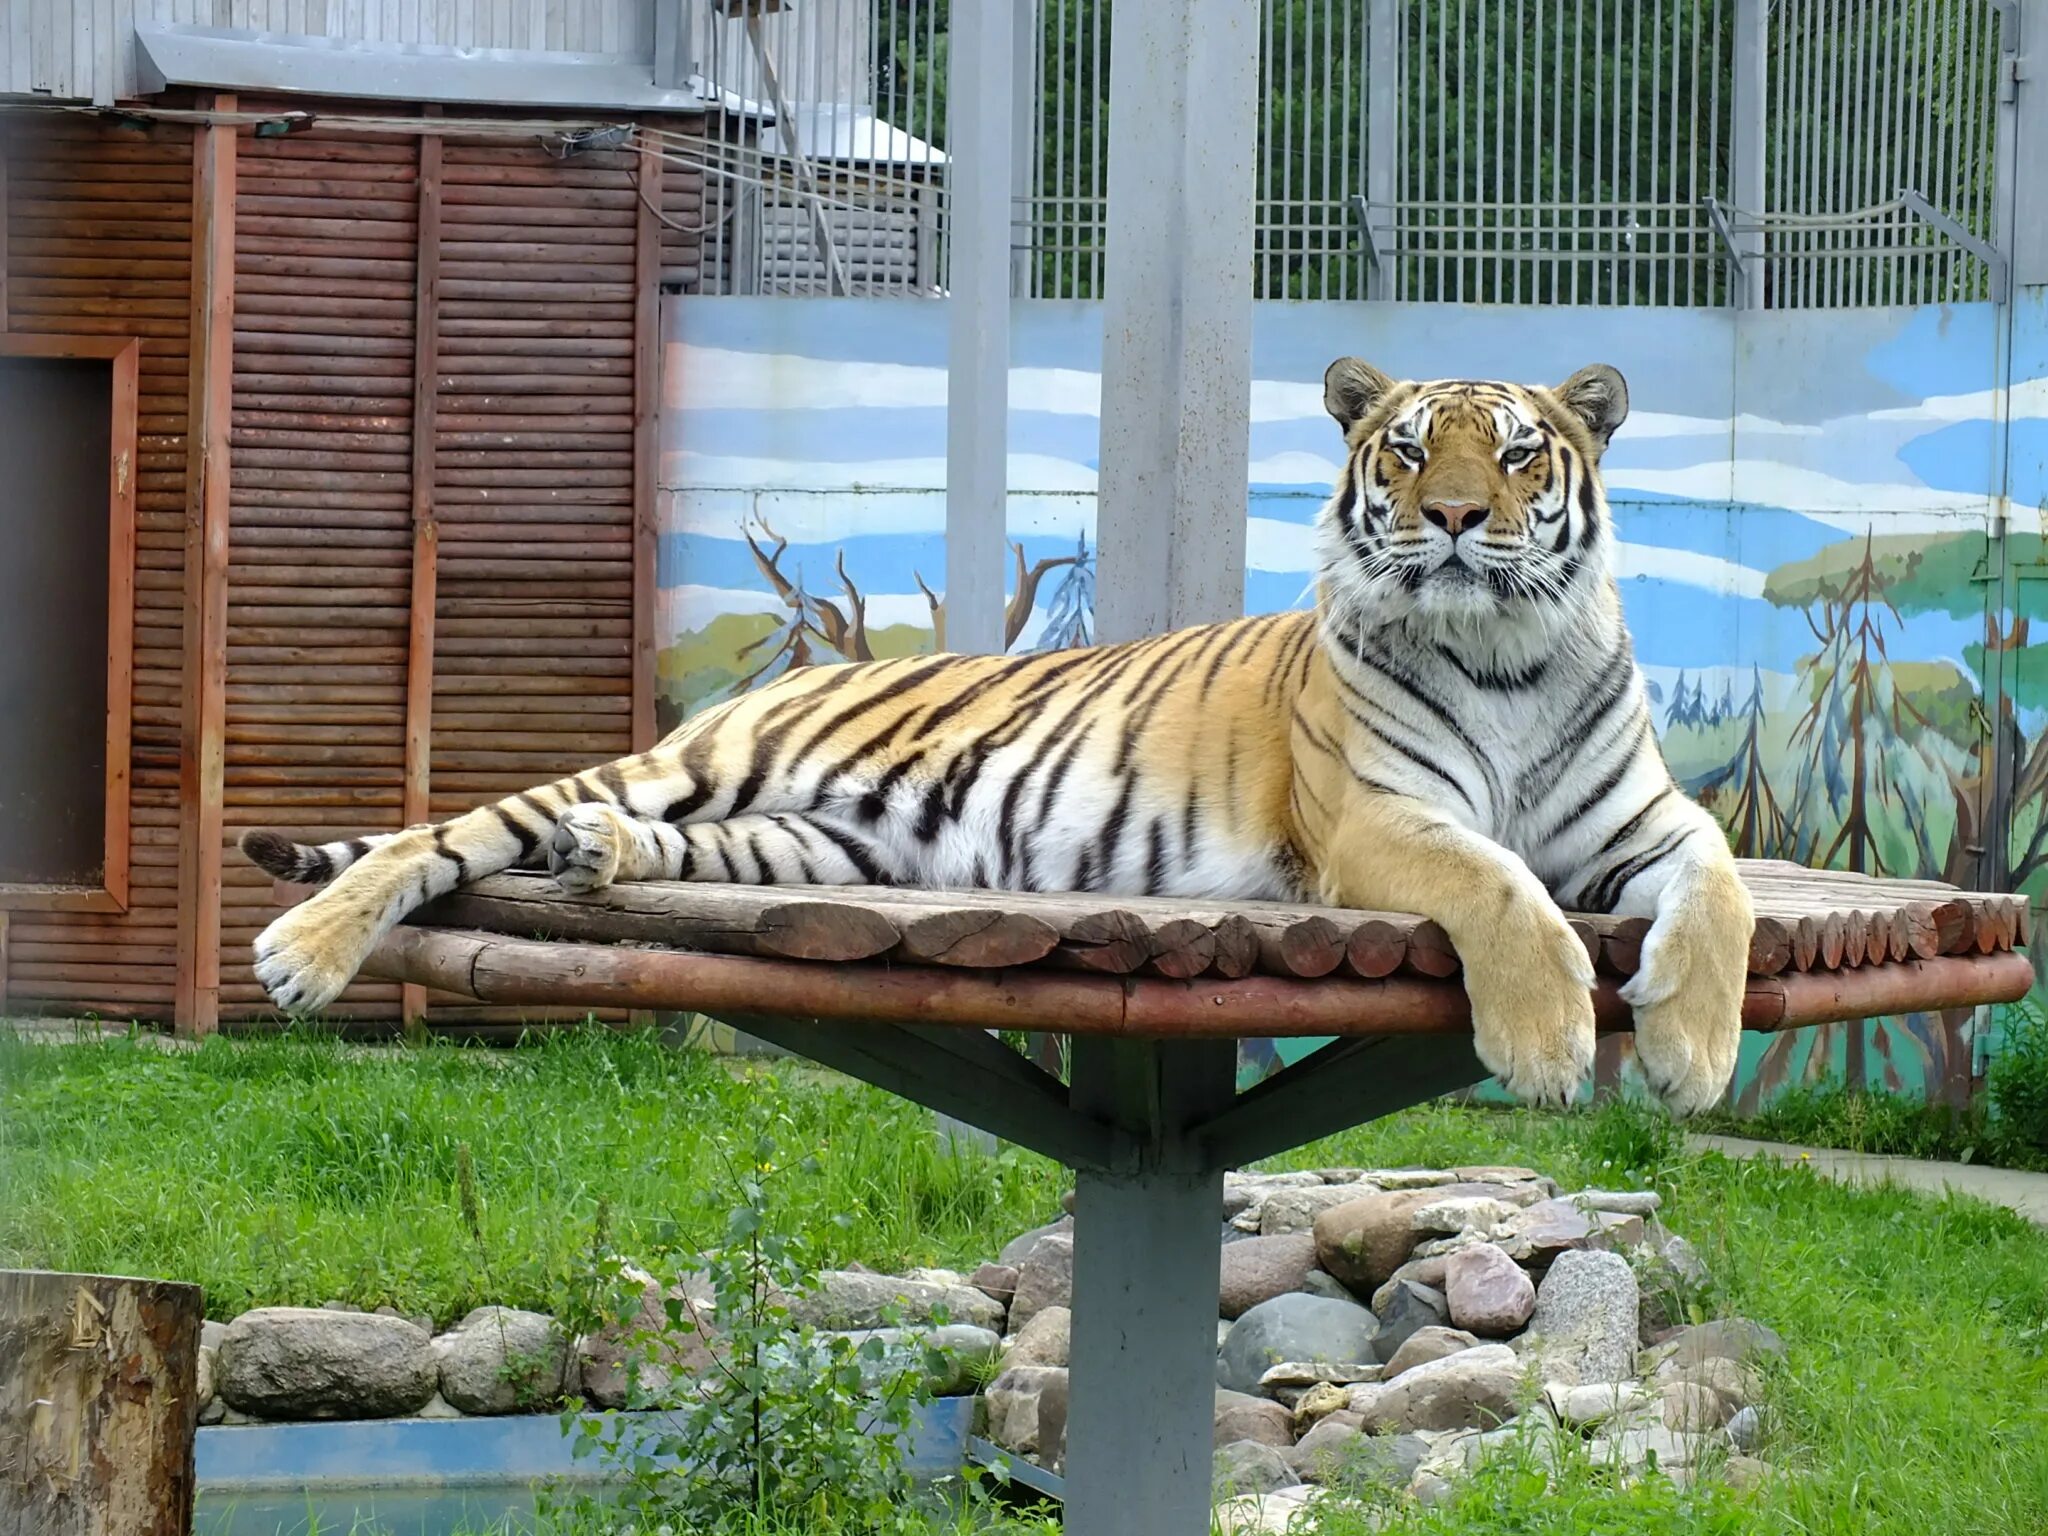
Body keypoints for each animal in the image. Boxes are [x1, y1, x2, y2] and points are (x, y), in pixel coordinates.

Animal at [235, 360, 1744, 1122]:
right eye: (1411, 448)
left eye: (1518, 455)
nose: (1450, 520)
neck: (1508, 657)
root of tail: (808, 675)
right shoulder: (1379, 821)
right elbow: (1502, 889)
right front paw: (1548, 1047)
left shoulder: (1646, 826)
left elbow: (1721, 888)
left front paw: (1690, 1056)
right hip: (692, 763)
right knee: (445, 834)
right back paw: (304, 954)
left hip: (808, 848)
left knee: (636, 842)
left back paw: (594, 855)